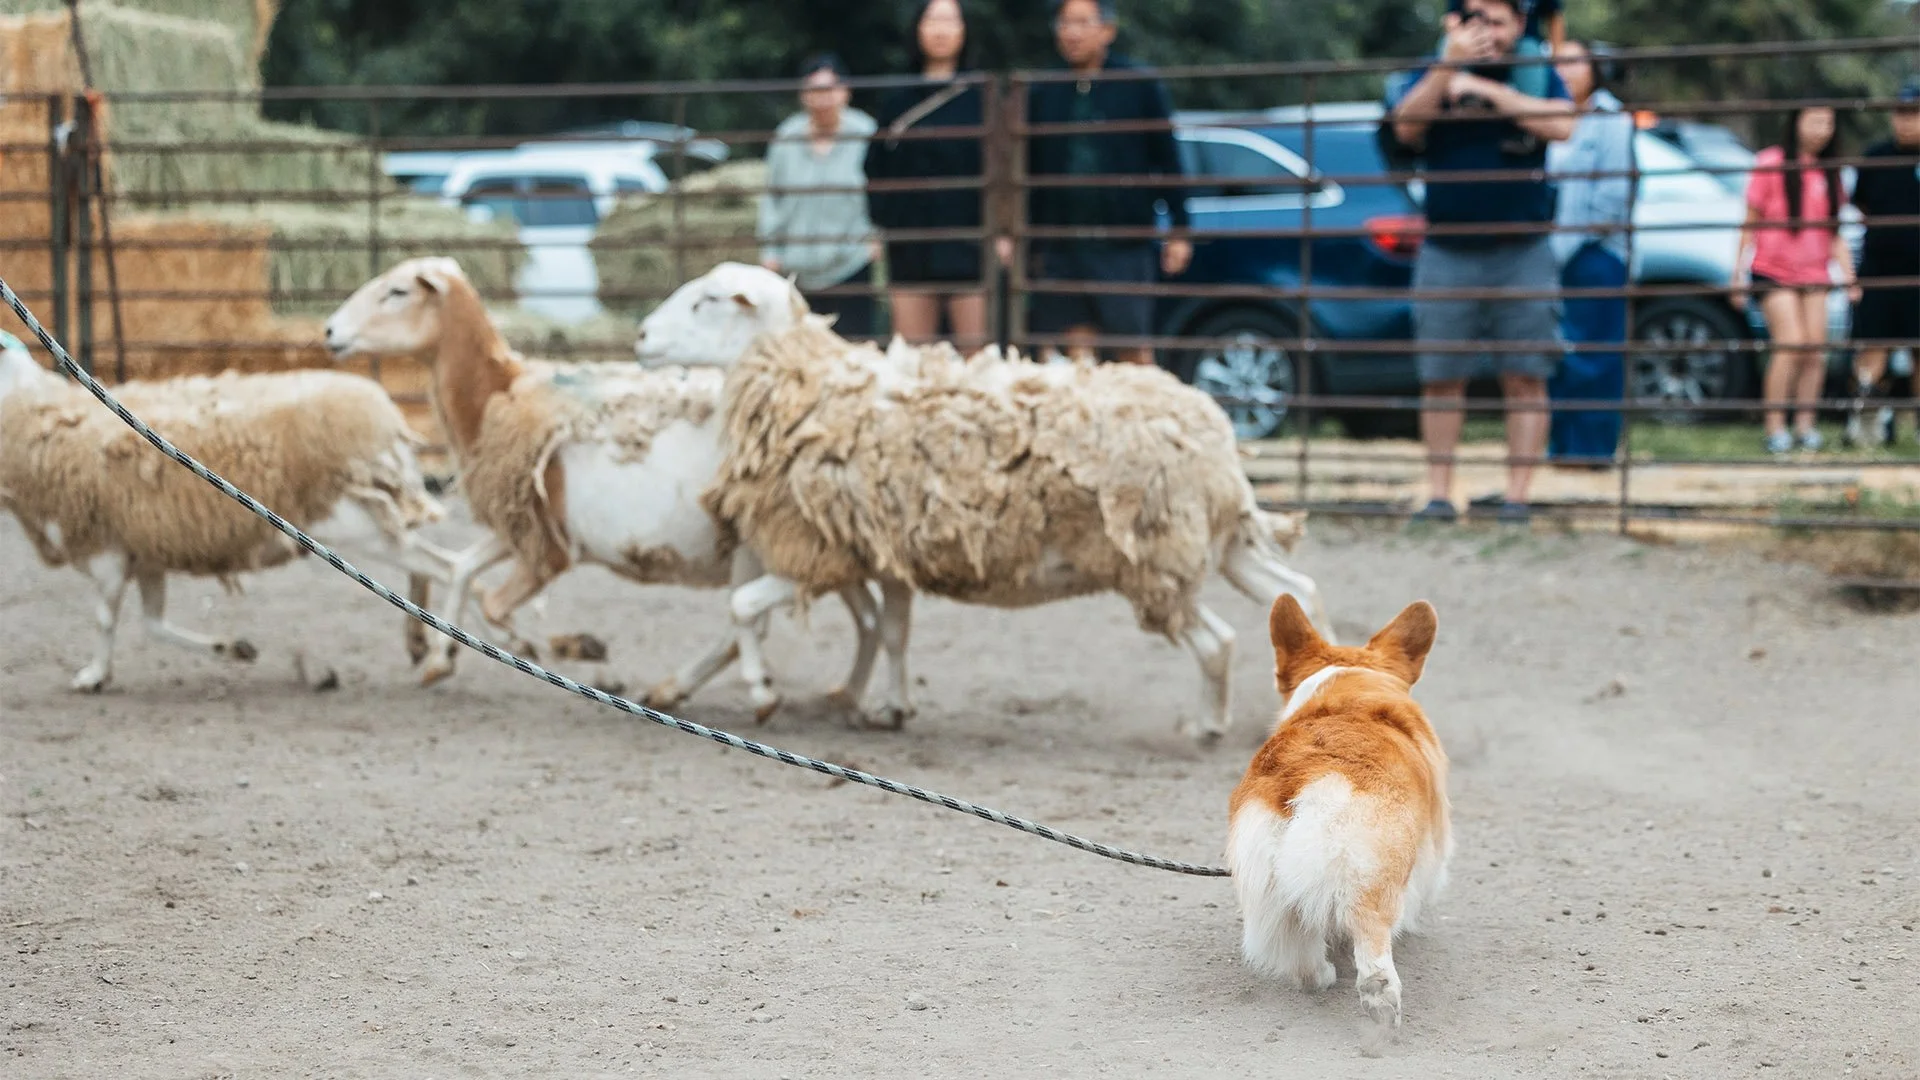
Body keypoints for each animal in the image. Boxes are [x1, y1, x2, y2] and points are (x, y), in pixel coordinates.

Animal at [0, 331, 459, 693]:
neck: (31, 409)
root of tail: (387, 418)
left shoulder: (106, 550)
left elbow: (104, 619)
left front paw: (93, 675)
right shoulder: (146, 550)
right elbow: (153, 624)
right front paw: (234, 648)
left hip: (351, 524)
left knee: (448, 566)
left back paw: (447, 651)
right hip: (374, 518)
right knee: (429, 566)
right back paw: (422, 644)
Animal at [321, 256, 882, 718]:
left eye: (396, 291)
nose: (328, 330)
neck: (498, 397)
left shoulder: (548, 551)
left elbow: (496, 605)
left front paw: (551, 647)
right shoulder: (522, 528)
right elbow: (461, 570)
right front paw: (441, 658)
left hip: (774, 543)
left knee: (781, 618)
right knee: (869, 614)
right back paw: (851, 698)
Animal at [636, 262, 1333, 742]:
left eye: (706, 300)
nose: (640, 335)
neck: (806, 384)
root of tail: (1215, 433)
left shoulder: (822, 551)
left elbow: (741, 605)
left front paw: (761, 690)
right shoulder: (886, 552)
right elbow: (895, 633)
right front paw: (892, 707)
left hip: (1157, 560)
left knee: (1217, 642)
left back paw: (1207, 726)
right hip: (1219, 542)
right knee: (1301, 591)